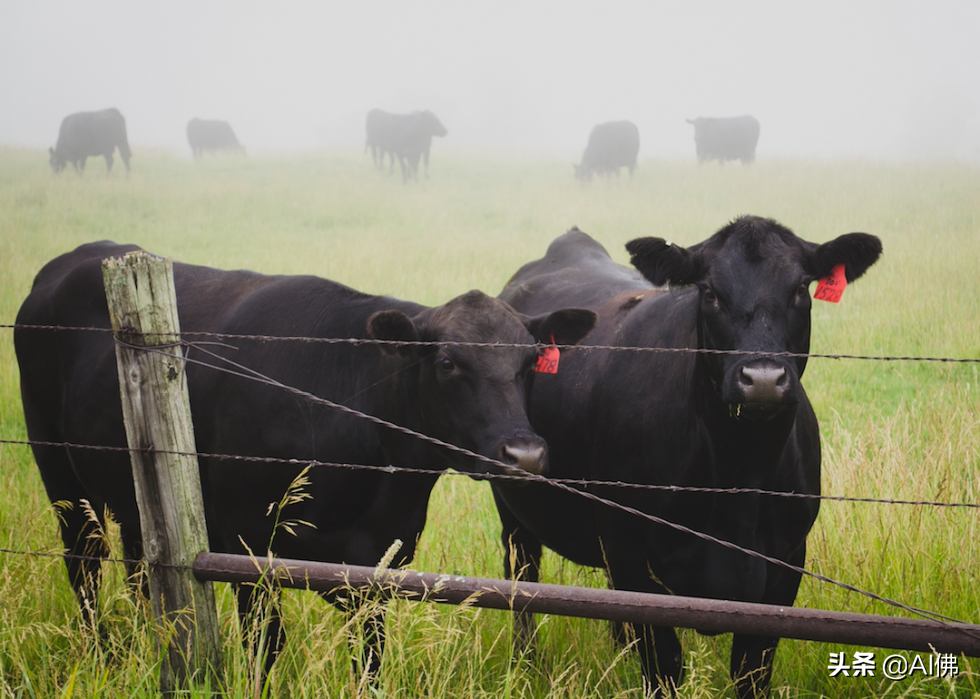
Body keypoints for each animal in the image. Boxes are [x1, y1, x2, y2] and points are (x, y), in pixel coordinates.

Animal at [494, 219, 884, 699]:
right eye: (710, 292)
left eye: (799, 289)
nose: (763, 378)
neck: (739, 478)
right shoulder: (631, 557)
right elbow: (663, 665)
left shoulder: (787, 564)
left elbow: (751, 670)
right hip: (515, 506)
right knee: (522, 580)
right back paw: (525, 665)